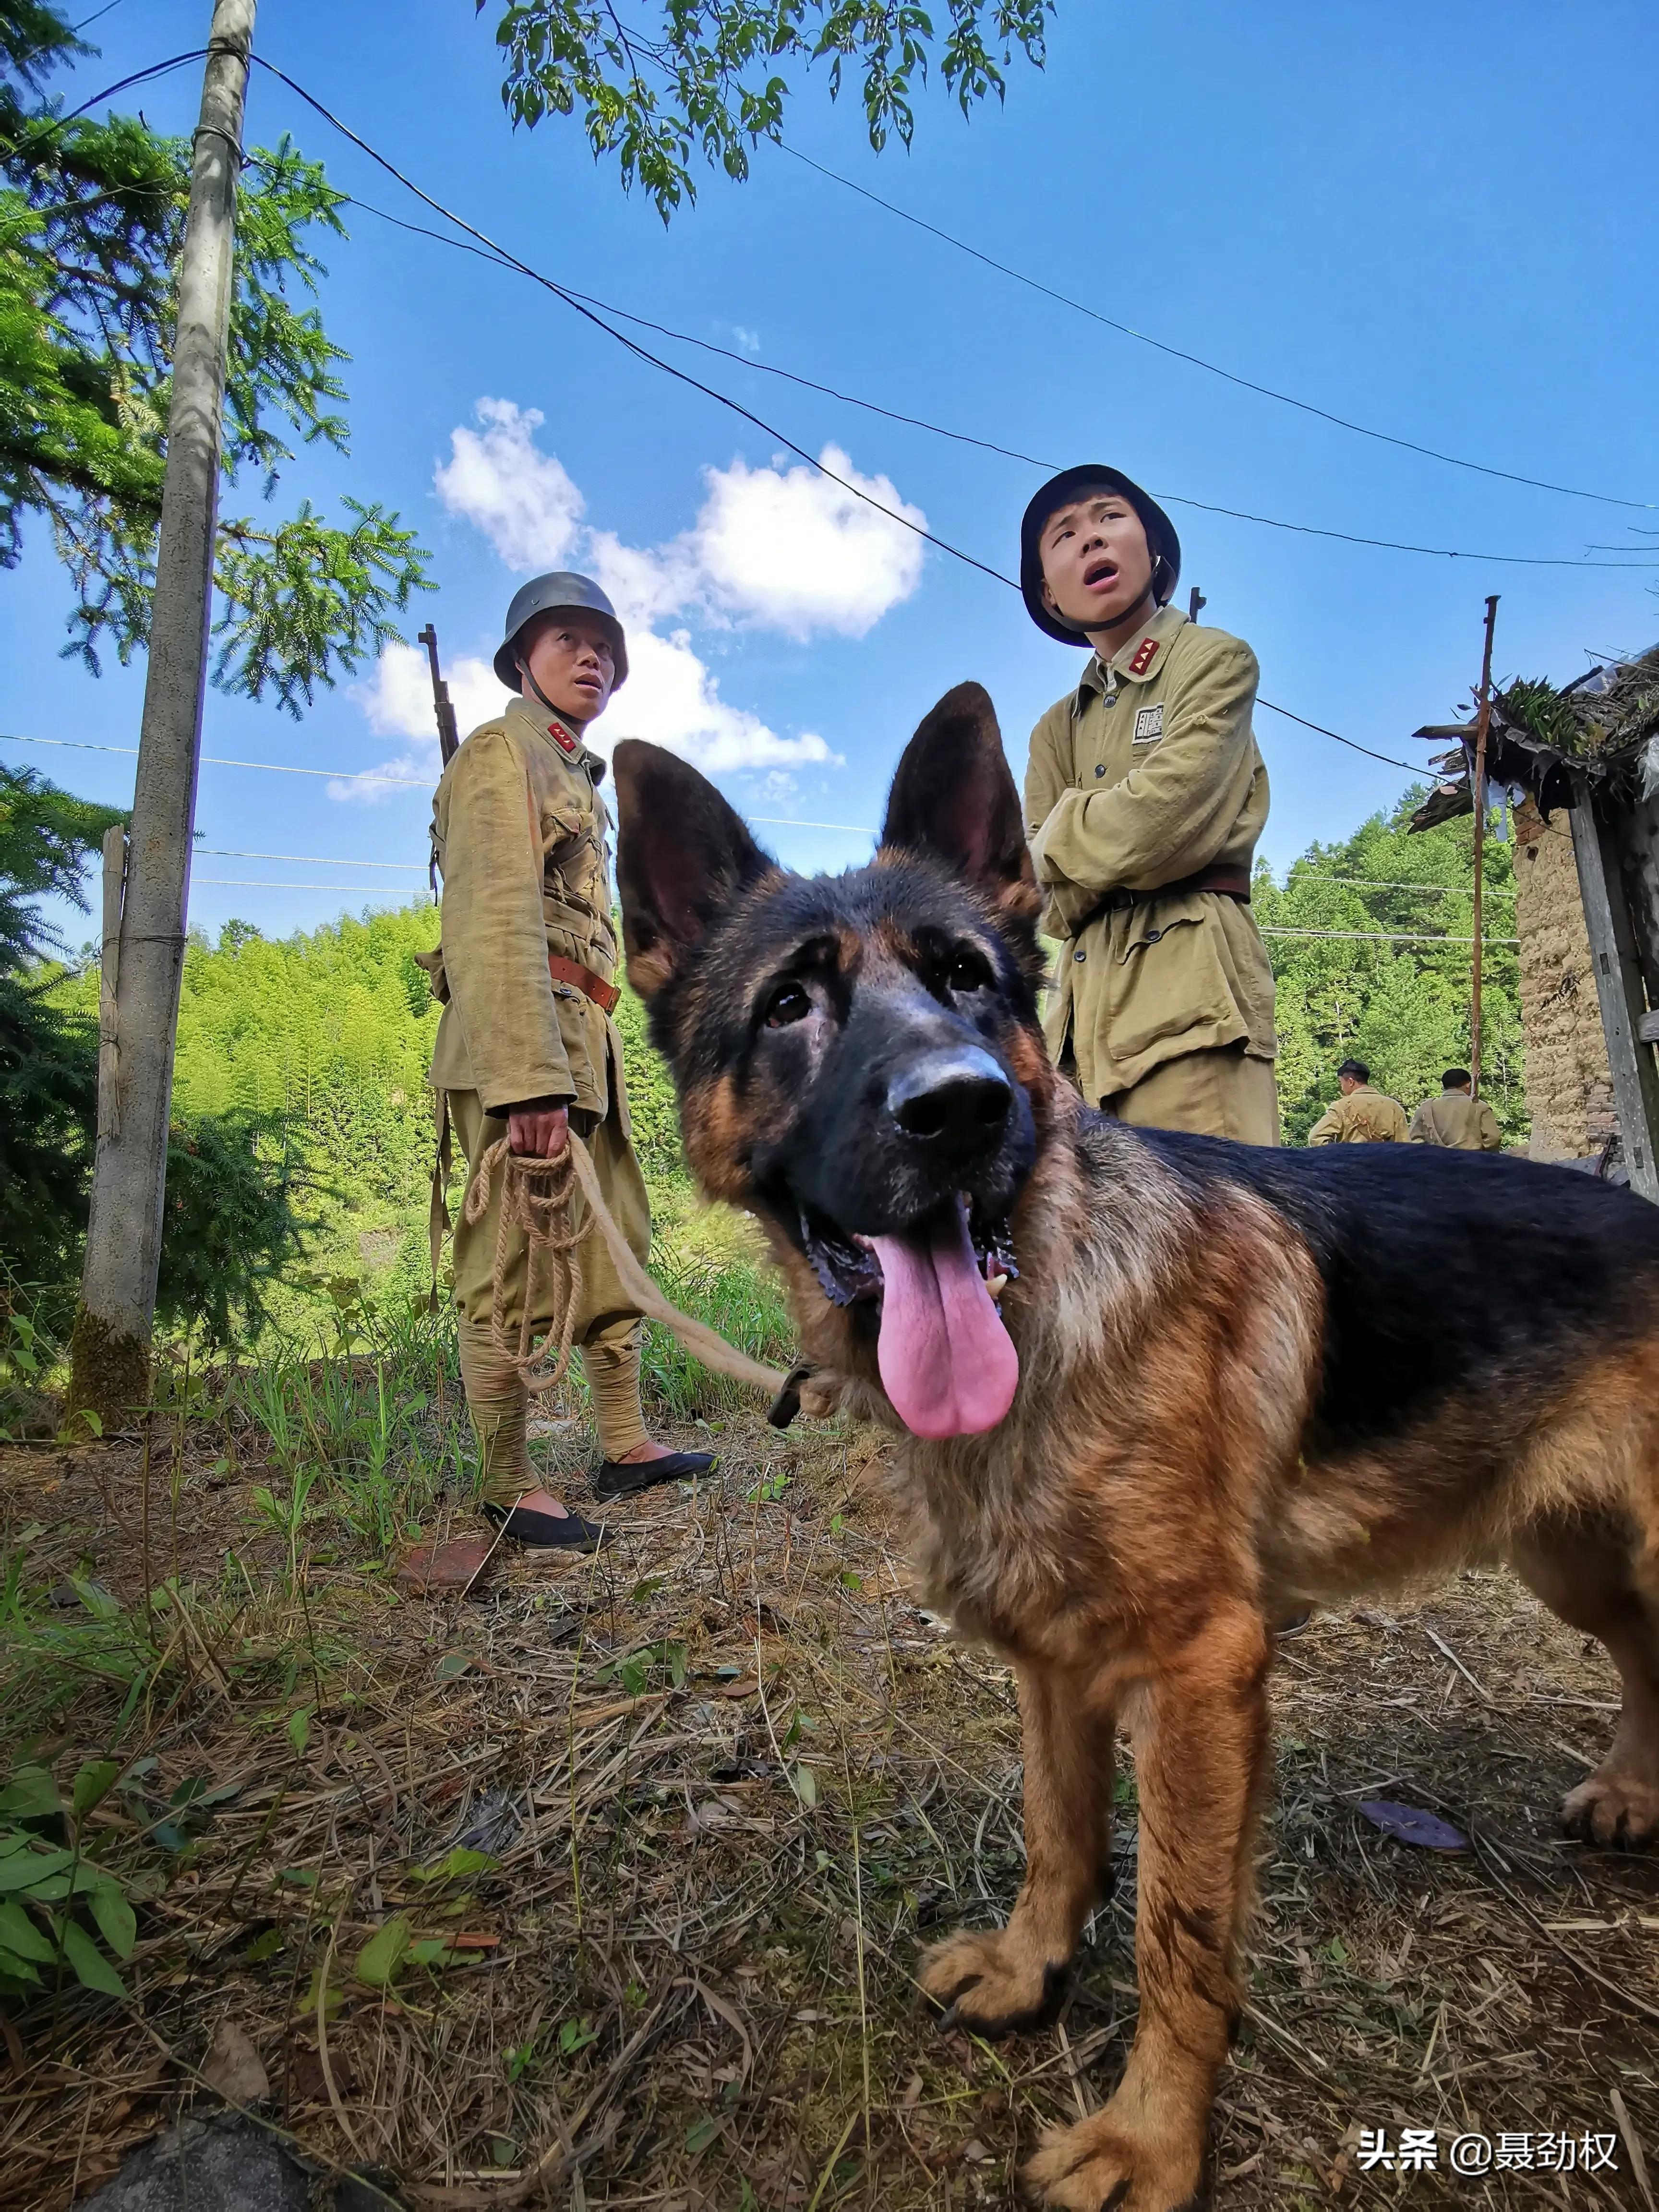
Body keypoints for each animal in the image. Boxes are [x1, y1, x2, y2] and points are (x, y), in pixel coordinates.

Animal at [619, 681, 1659, 2203]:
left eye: (969, 979)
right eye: (788, 1006)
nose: (962, 1106)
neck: (1049, 1299)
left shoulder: (1200, 1671)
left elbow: (1182, 1928)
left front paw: (1151, 2137)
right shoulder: (1055, 1658)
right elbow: (1059, 1830)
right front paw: (1030, 1966)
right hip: (1566, 1554)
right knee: (1642, 1646)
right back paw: (1636, 1788)